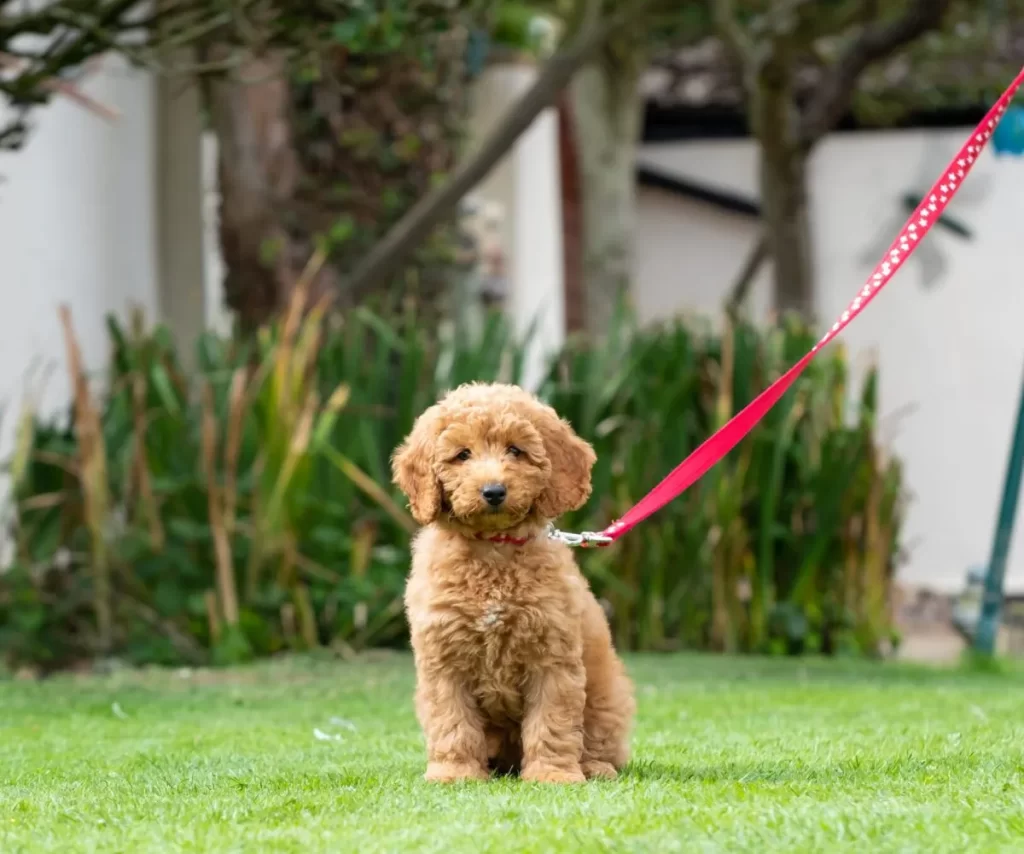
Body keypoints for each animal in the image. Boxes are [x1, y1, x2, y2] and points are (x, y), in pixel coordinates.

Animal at [391, 382, 630, 782]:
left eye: (516, 450)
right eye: (462, 455)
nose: (493, 491)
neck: (494, 548)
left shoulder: (553, 658)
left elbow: (552, 721)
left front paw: (553, 775)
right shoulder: (443, 659)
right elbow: (451, 722)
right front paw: (455, 773)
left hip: (607, 694)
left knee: (600, 739)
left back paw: (595, 767)